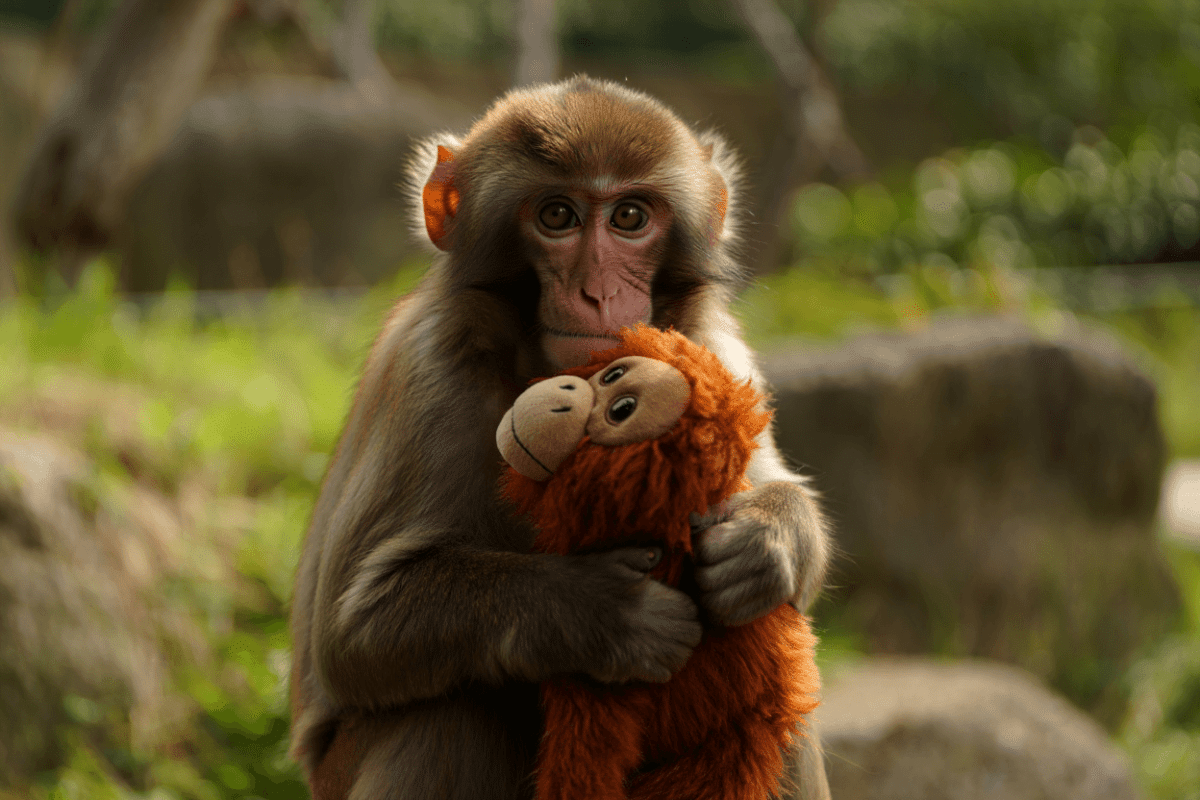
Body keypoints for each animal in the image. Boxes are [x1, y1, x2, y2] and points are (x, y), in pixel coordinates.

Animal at [288, 75, 832, 800]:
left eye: (629, 217)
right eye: (557, 217)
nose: (597, 293)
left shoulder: (713, 349)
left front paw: (766, 541)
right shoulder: (428, 368)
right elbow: (353, 632)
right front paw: (601, 609)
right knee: (448, 716)